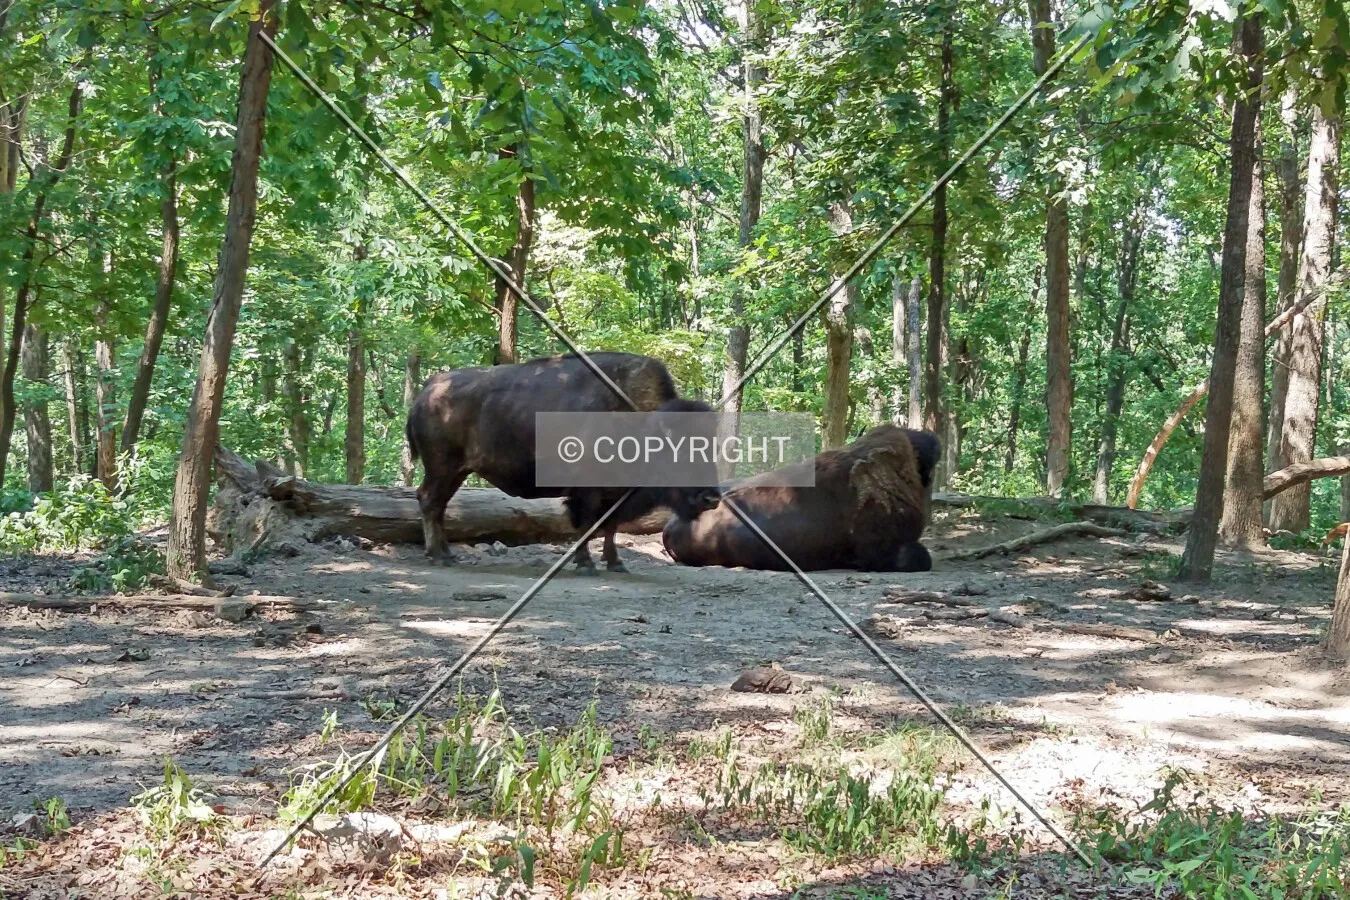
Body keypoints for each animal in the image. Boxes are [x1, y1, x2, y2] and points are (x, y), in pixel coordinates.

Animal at [406, 352, 721, 573]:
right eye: (680, 453)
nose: (712, 498)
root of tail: (428, 390)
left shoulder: (616, 493)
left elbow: (610, 526)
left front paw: (615, 563)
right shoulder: (587, 491)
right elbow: (587, 524)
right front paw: (587, 564)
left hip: (455, 472)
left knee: (439, 505)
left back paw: (446, 554)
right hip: (442, 468)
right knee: (430, 501)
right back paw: (439, 557)